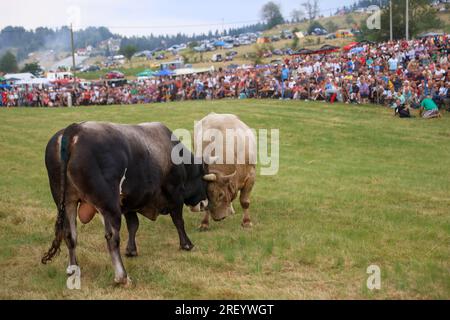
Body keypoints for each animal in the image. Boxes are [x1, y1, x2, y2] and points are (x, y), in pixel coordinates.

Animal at [41, 121, 208, 284]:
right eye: (202, 177)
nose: (204, 203)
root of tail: (75, 128)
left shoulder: (129, 203)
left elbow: (133, 225)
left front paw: (131, 250)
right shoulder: (175, 193)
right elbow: (178, 221)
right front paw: (187, 244)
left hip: (67, 201)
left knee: (70, 235)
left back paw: (73, 269)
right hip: (108, 204)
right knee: (112, 238)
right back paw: (122, 277)